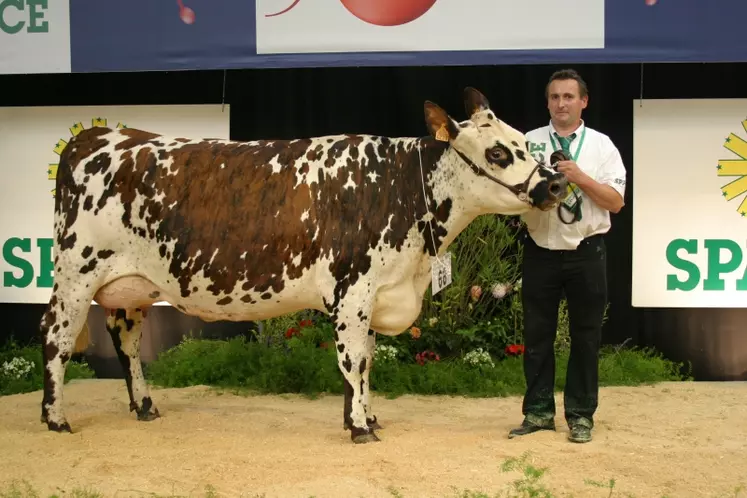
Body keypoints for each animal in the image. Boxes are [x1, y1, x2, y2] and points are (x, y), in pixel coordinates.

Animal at [41, 86, 568, 444]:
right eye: (496, 152)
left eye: (525, 142)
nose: (555, 184)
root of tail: (97, 136)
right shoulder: (352, 291)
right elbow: (352, 359)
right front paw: (359, 428)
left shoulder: (376, 293)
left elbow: (367, 360)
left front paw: (368, 416)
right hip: (75, 274)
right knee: (57, 337)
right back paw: (55, 417)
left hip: (132, 284)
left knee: (126, 339)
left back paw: (145, 407)